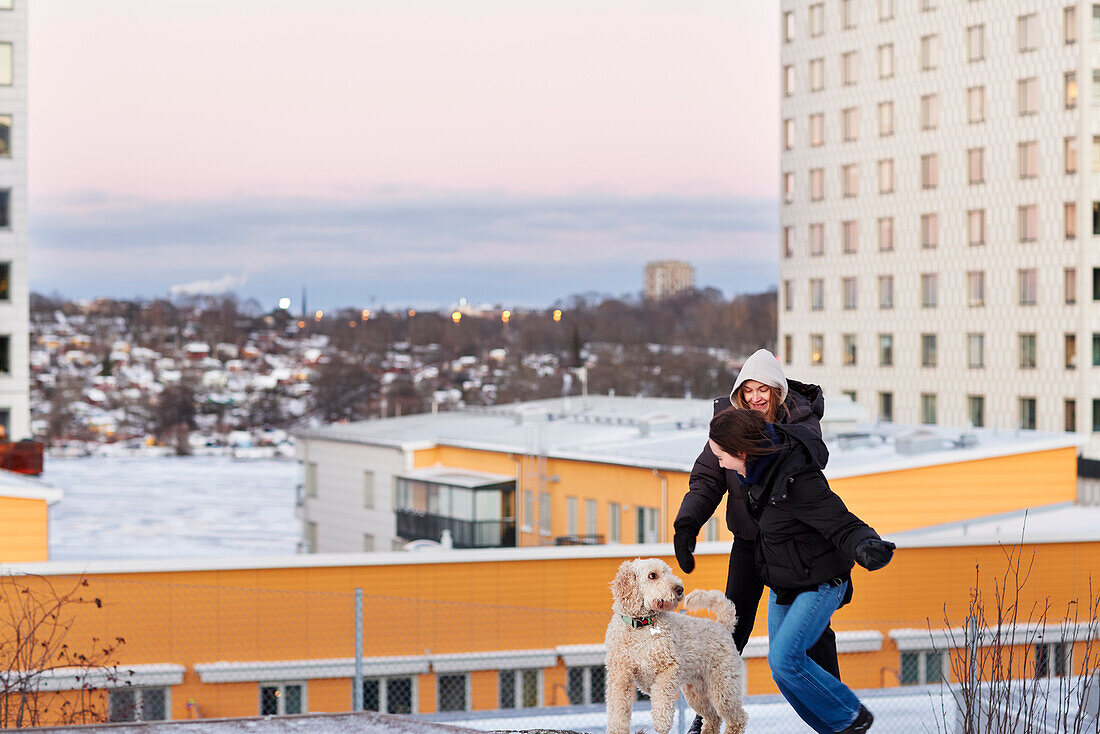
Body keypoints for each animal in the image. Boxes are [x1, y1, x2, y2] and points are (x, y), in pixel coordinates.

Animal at [602, 559, 748, 734]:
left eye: (668, 572)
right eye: (653, 575)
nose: (679, 589)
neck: (642, 626)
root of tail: (723, 626)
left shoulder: (669, 668)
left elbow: (662, 697)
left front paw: (661, 723)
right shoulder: (620, 674)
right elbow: (617, 709)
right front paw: (616, 729)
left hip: (723, 687)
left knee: (737, 718)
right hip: (696, 692)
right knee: (713, 717)